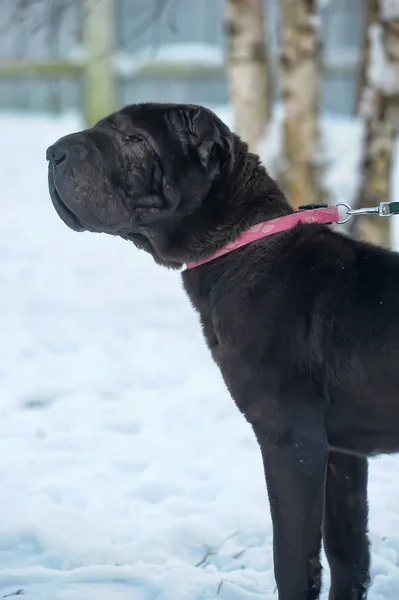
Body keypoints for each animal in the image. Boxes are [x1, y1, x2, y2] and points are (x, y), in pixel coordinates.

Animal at [47, 103, 399, 600]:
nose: (52, 153)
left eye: (134, 138)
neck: (241, 246)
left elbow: (292, 559)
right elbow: (350, 557)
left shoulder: (292, 440)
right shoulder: (344, 453)